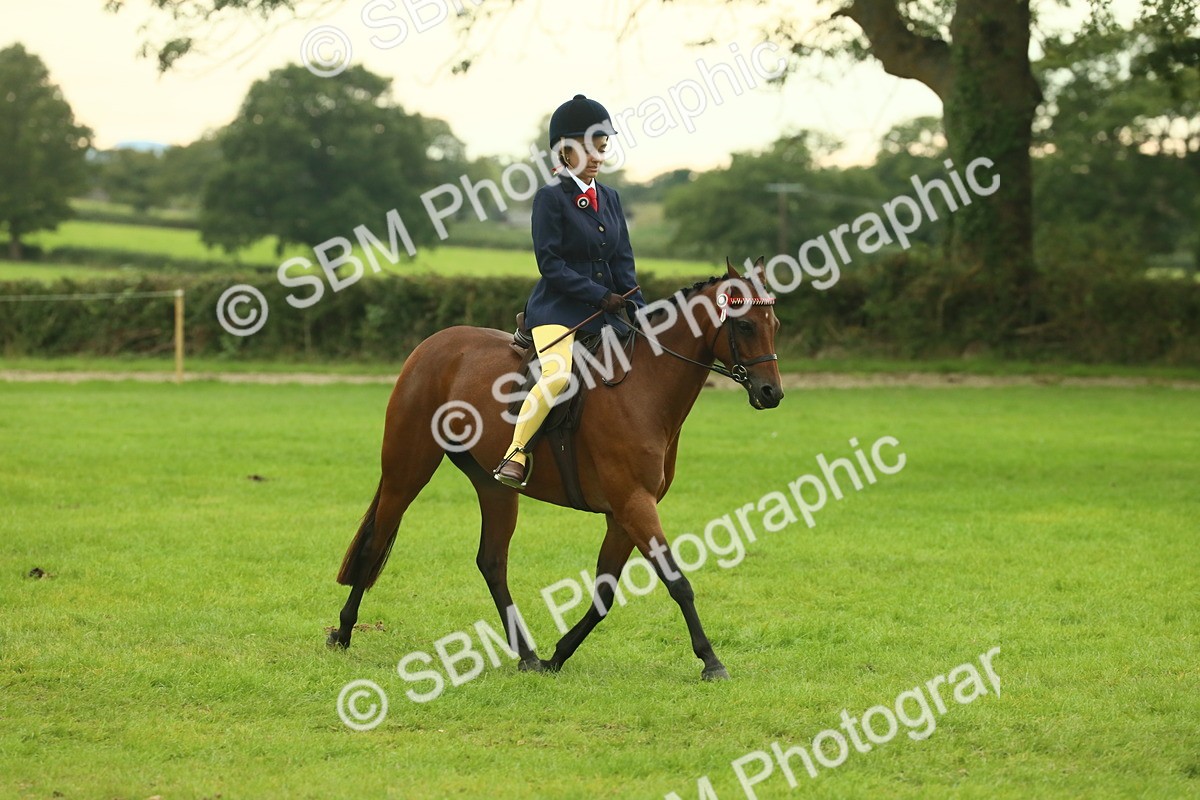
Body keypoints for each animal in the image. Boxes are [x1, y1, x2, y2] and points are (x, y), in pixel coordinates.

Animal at [327, 259, 784, 681]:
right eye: (745, 326)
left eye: (774, 323)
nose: (771, 393)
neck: (642, 387)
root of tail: (433, 344)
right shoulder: (634, 504)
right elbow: (677, 581)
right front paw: (711, 661)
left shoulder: (623, 514)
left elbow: (604, 594)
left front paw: (557, 655)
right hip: (407, 469)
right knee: (377, 540)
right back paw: (343, 632)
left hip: (493, 487)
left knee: (491, 562)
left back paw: (527, 655)